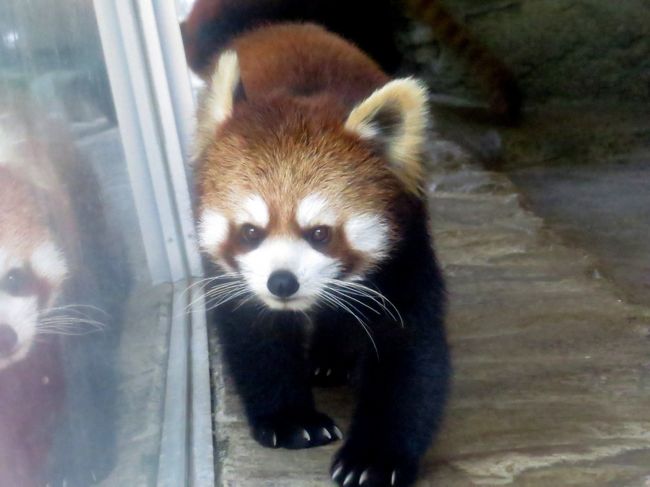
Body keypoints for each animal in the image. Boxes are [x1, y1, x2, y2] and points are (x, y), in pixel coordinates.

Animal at [190, 18, 448, 487]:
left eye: (321, 233)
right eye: (250, 231)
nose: (282, 282)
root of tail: (284, 24)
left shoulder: (406, 247)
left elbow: (408, 350)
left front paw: (374, 458)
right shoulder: (237, 280)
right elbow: (256, 336)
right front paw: (292, 420)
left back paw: (330, 361)